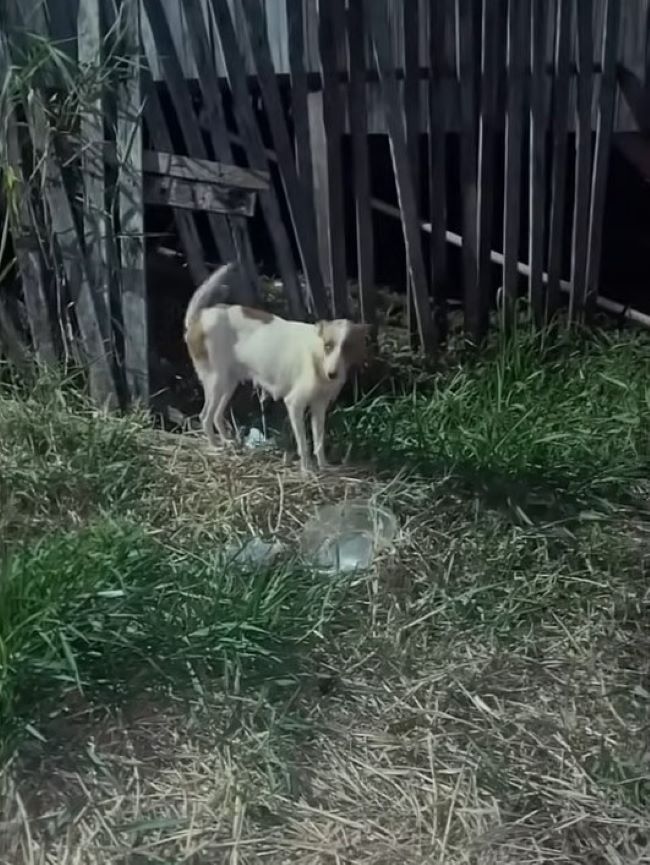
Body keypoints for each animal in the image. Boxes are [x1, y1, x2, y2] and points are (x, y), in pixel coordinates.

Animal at [182, 264, 368, 472]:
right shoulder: (294, 404)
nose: (332, 374)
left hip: (229, 384)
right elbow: (303, 443)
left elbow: (319, 441)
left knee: (216, 415)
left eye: (348, 348)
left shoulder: (319, 406)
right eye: (328, 346)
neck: (318, 358)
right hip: (216, 382)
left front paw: (323, 466)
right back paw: (214, 447)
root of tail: (199, 317)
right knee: (205, 416)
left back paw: (226, 442)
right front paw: (306, 469)